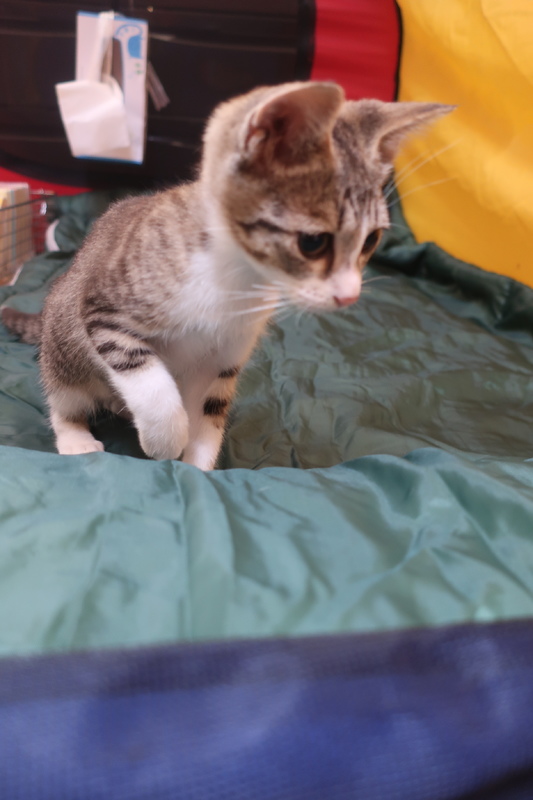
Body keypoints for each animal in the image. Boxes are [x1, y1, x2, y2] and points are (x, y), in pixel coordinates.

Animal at [1, 81, 452, 470]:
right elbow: (150, 383)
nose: (350, 296)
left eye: (371, 239)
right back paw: (76, 435)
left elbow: (208, 412)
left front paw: (195, 468)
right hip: (63, 336)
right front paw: (165, 439)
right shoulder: (103, 308)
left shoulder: (223, 357)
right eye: (313, 243)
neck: (234, 280)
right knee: (63, 395)